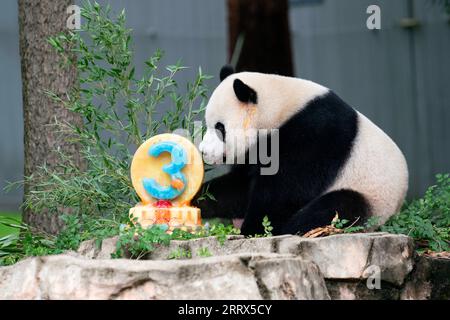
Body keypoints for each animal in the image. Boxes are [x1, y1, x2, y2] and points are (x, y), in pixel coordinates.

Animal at [197, 65, 408, 235]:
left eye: (220, 128)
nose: (203, 151)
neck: (279, 108)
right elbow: (239, 189)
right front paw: (197, 199)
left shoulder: (315, 134)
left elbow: (284, 191)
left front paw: (253, 229)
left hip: (373, 197)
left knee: (337, 207)